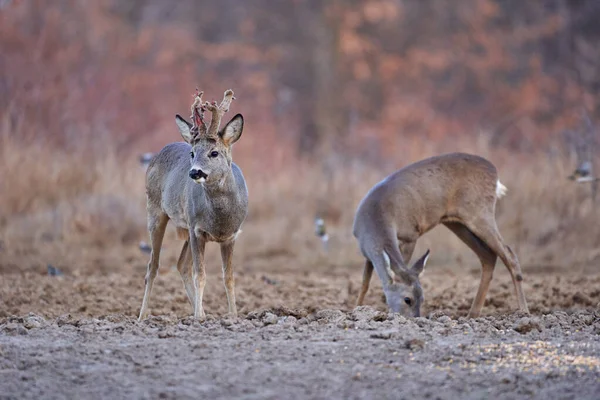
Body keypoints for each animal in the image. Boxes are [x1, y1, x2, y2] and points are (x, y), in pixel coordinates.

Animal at [137, 89, 247, 320]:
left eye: (214, 152)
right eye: (192, 153)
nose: (195, 172)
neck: (220, 220)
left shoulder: (231, 235)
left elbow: (229, 277)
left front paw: (233, 316)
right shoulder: (197, 230)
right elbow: (201, 275)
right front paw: (197, 317)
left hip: (185, 226)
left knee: (181, 265)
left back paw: (203, 312)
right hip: (155, 210)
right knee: (153, 265)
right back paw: (142, 317)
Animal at [354, 153, 528, 318]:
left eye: (422, 298)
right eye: (408, 300)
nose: (416, 318)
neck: (375, 216)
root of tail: (494, 173)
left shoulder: (410, 234)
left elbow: (402, 266)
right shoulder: (367, 251)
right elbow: (364, 283)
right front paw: (356, 309)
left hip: (479, 212)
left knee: (509, 255)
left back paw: (523, 311)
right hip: (457, 222)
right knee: (488, 255)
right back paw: (472, 314)